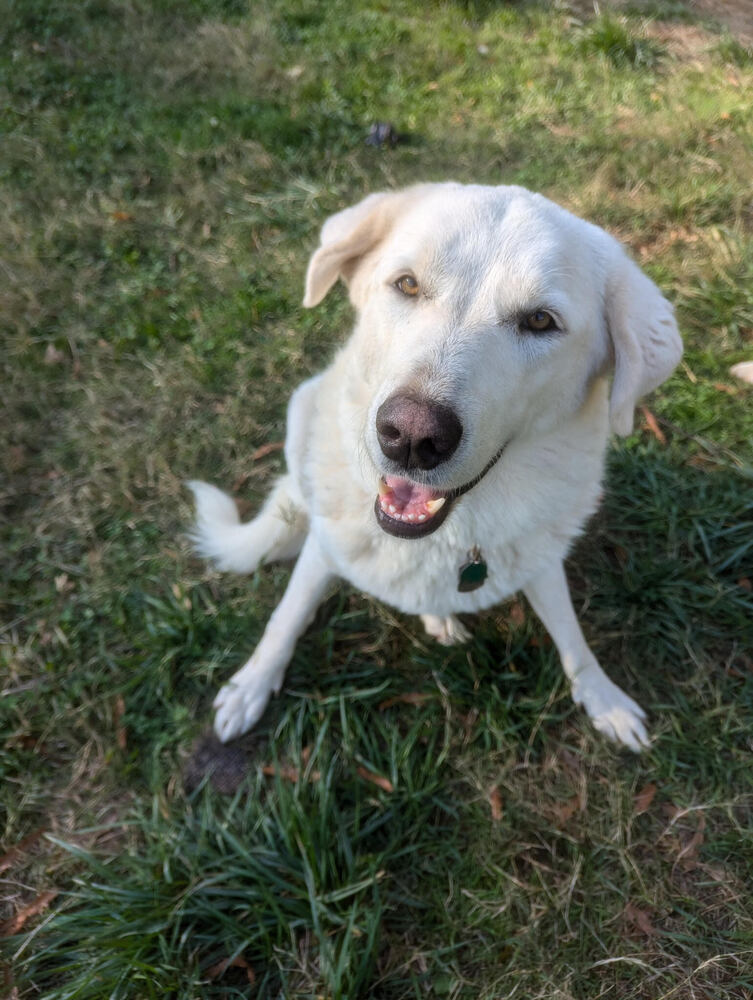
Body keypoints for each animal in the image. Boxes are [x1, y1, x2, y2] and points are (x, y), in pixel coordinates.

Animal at [188, 186, 680, 752]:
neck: (448, 538)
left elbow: (573, 641)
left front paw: (603, 699)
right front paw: (251, 684)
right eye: (407, 284)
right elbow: (284, 618)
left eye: (540, 321)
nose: (411, 437)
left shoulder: (540, 562)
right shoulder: (322, 552)